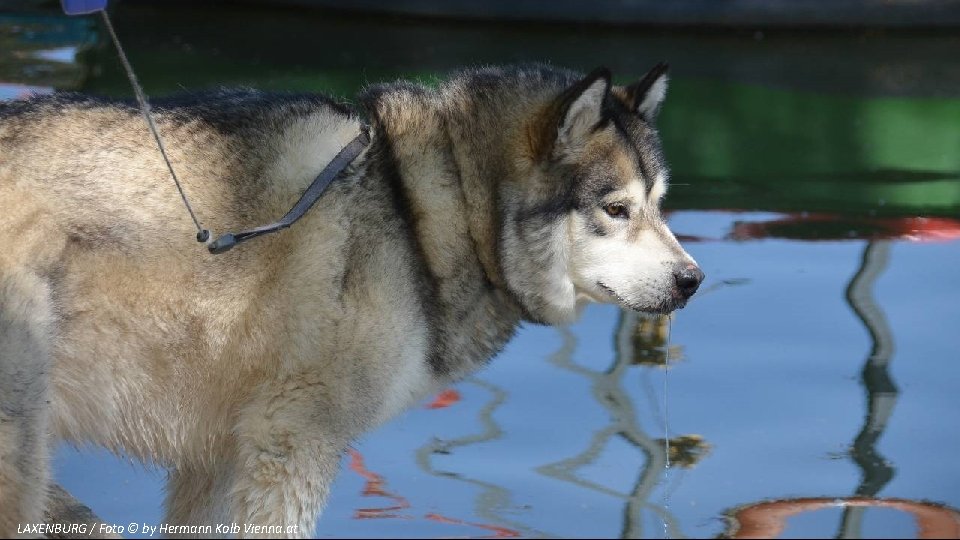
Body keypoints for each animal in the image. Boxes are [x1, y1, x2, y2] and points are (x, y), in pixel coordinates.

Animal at [1, 64, 704, 536]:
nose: (693, 280)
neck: (425, 211)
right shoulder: (293, 439)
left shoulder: (221, 454)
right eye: (616, 210)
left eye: (660, 204)